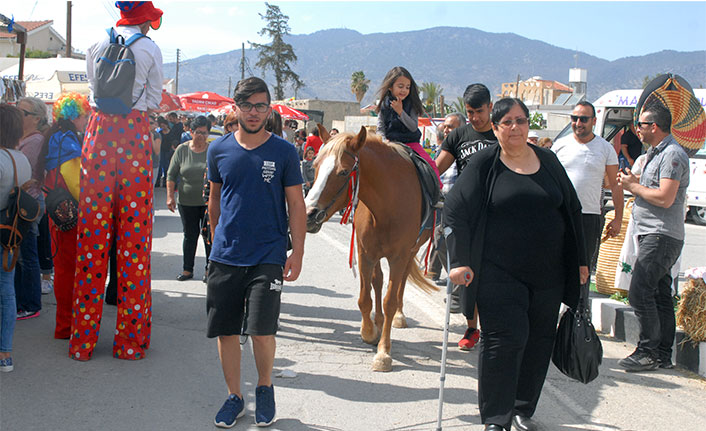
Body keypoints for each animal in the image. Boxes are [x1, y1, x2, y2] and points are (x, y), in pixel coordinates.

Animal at [302, 126, 434, 372]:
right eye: (314, 166)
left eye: (344, 172)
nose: (308, 214)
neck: (387, 205)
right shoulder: (365, 254)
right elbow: (365, 298)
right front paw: (369, 332)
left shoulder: (399, 256)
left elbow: (390, 300)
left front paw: (383, 352)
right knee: (378, 281)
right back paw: (378, 321)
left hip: (410, 253)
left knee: (400, 283)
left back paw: (398, 316)